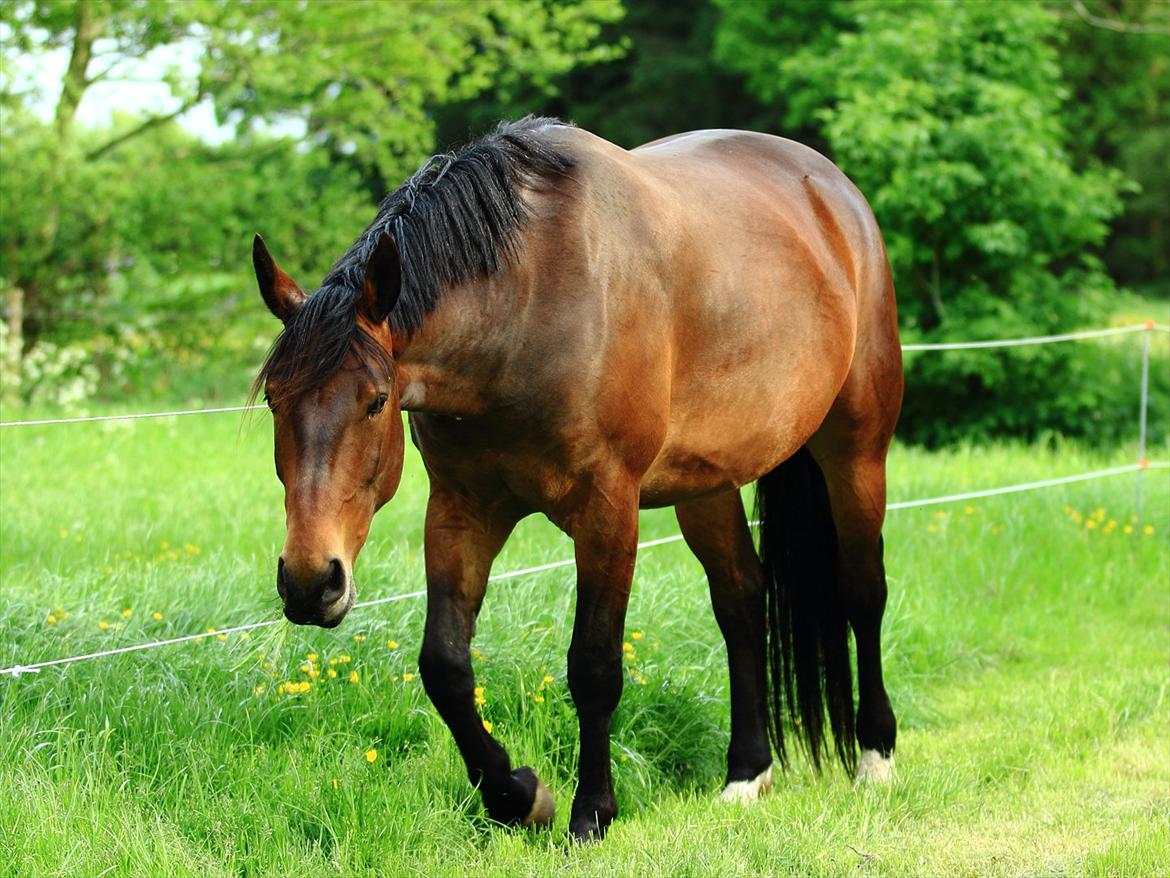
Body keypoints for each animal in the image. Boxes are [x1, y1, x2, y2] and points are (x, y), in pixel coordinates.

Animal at [251, 118, 898, 847]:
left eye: (374, 400)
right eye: (275, 399)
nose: (311, 583)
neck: (526, 307)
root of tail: (834, 191)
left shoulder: (607, 510)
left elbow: (593, 666)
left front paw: (592, 812)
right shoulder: (462, 509)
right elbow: (444, 666)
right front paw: (517, 795)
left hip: (856, 451)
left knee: (861, 590)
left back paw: (875, 757)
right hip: (706, 485)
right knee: (741, 602)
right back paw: (745, 775)